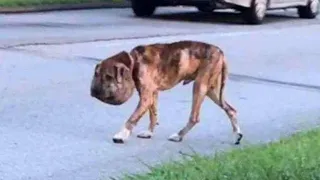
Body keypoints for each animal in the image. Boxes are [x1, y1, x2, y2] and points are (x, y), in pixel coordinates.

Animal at [90, 40, 242, 144]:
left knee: (194, 117)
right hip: (212, 91)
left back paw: (179, 135)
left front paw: (122, 134)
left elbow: (133, 118)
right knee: (231, 110)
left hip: (199, 87)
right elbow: (153, 115)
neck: (134, 61)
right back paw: (237, 135)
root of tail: (220, 52)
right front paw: (149, 132)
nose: (94, 91)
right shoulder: (152, 95)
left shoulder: (146, 98)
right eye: (97, 74)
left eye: (108, 76)